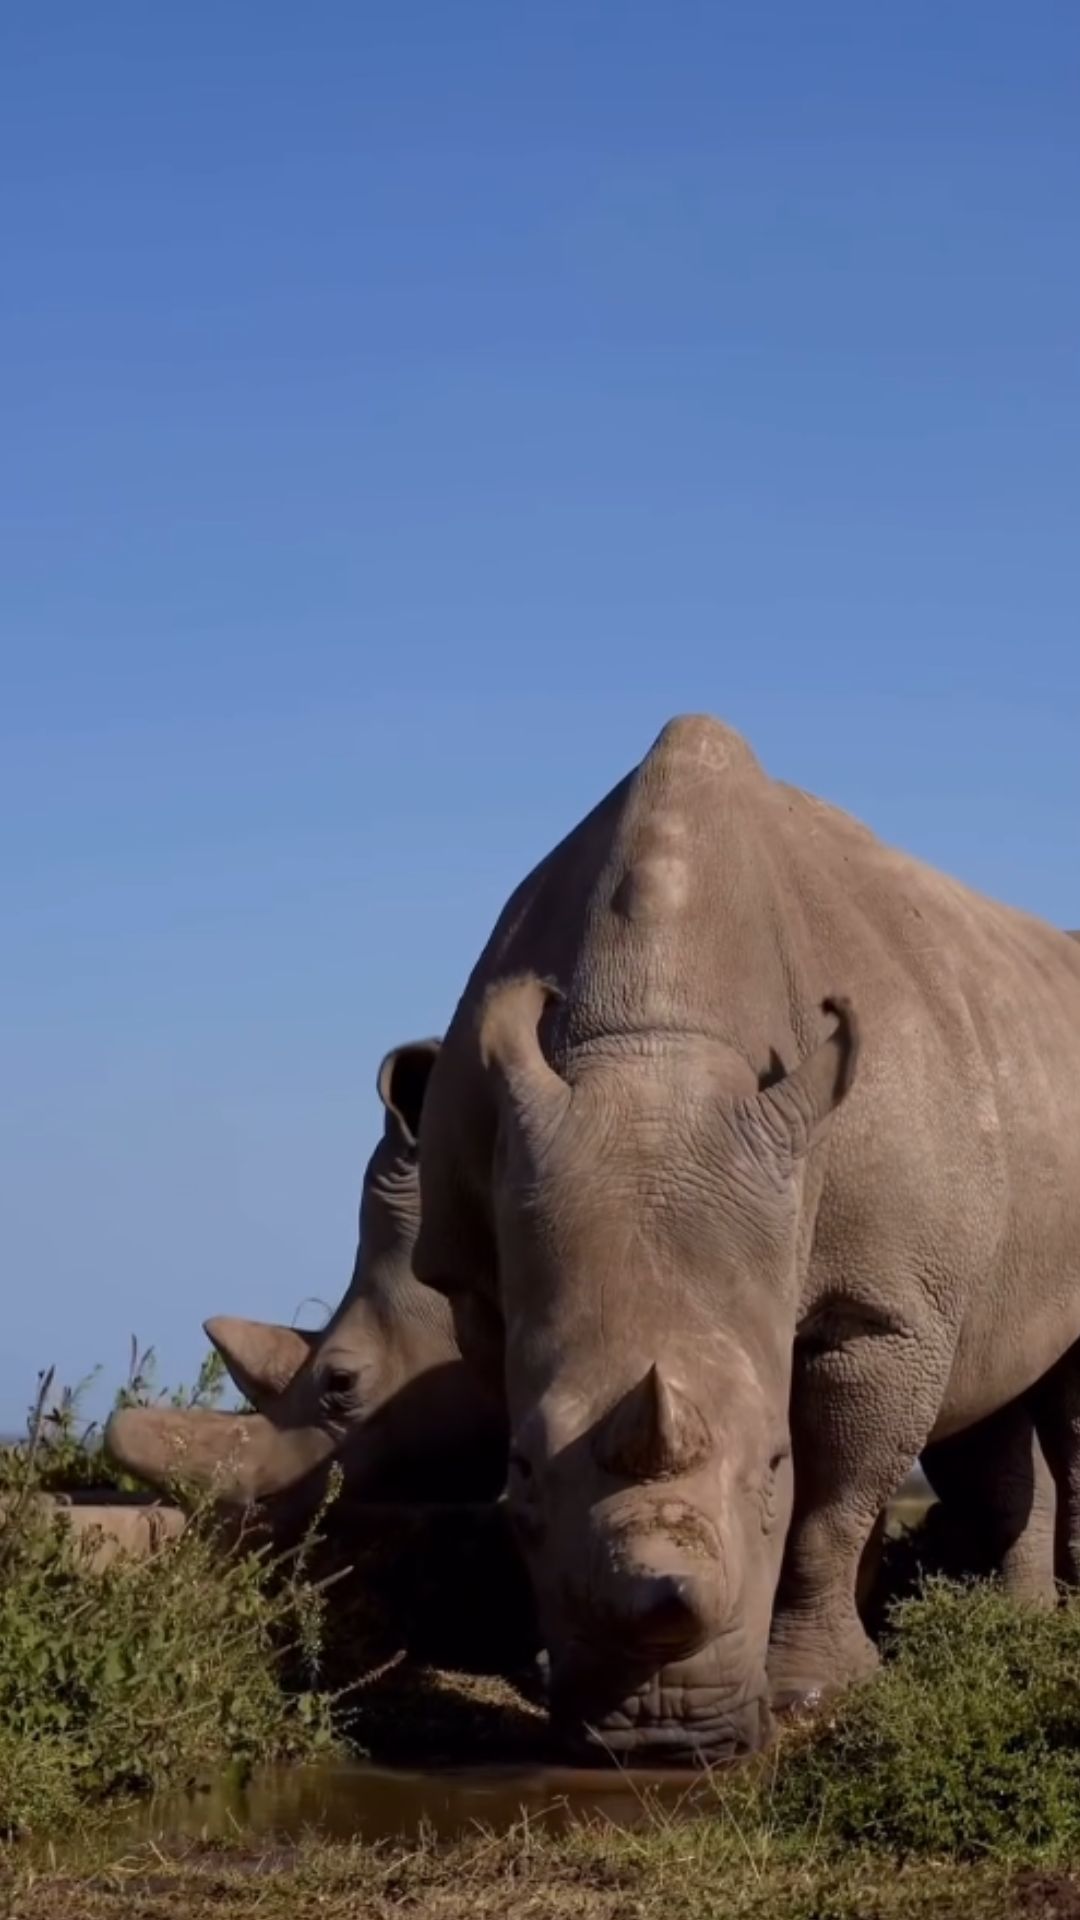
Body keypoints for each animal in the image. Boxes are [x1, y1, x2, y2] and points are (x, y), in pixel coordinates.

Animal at [407, 715, 1080, 1762]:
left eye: (771, 1463)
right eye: (517, 1469)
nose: (658, 1734)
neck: (654, 1043)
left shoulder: (884, 1302)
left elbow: (834, 1501)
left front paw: (813, 1693)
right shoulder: (476, 1281)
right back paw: (1013, 1626)